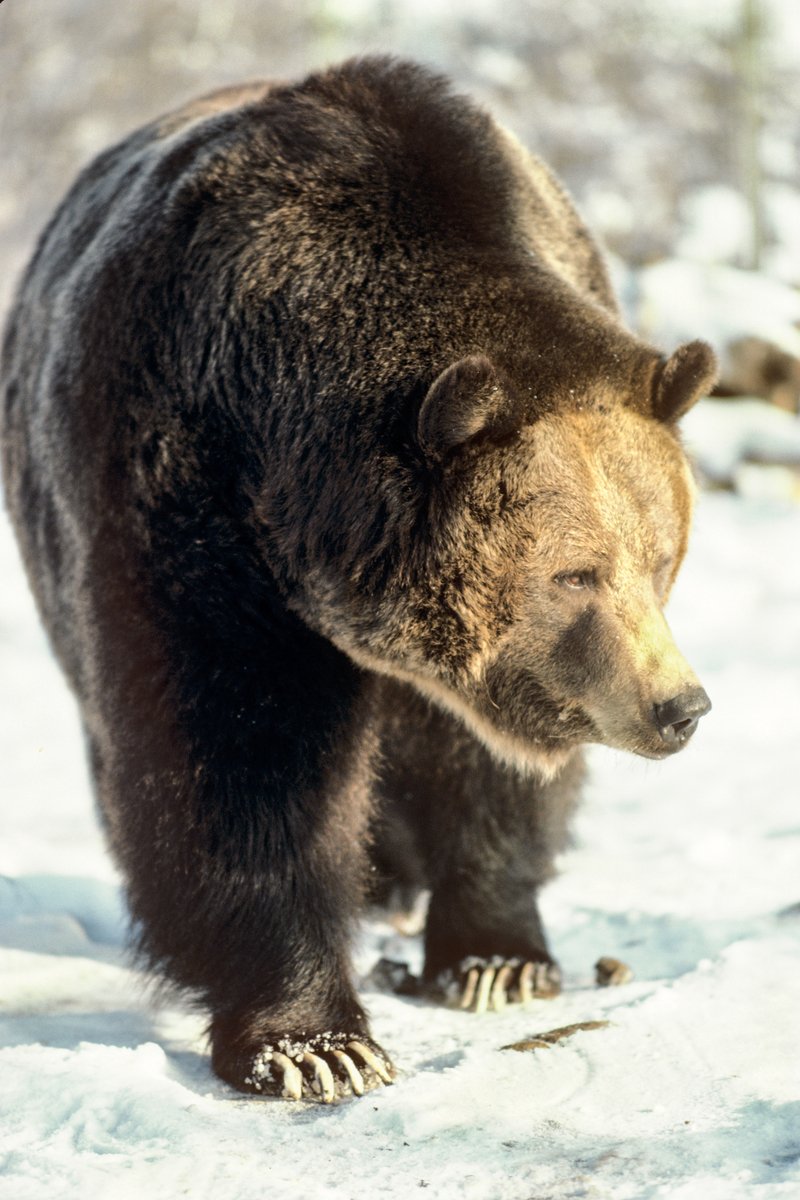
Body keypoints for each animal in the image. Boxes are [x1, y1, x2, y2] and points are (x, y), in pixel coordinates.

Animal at [0, 57, 715, 1103]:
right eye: (574, 573)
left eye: (661, 558)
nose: (680, 707)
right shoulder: (183, 505)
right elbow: (242, 762)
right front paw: (313, 1042)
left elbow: (488, 772)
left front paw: (498, 958)